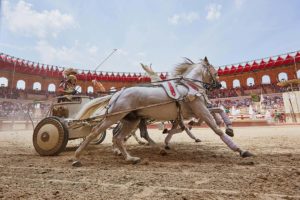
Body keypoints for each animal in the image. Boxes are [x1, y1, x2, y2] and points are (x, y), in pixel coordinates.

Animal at [72, 57, 253, 166]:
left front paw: (229, 128)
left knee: (119, 137)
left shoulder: (193, 112)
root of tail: (118, 93)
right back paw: (77, 157)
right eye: (214, 71)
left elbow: (218, 110)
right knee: (95, 133)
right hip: (114, 117)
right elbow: (216, 128)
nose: (219, 85)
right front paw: (240, 150)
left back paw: (130, 157)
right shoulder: (200, 110)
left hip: (131, 119)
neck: (189, 87)